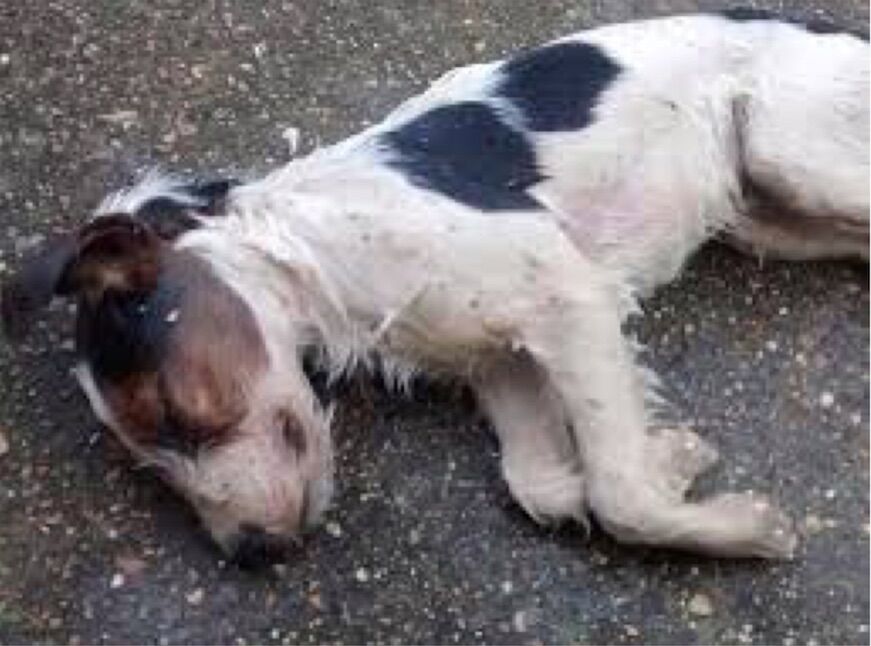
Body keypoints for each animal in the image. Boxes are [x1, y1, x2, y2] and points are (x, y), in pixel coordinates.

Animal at [3, 8, 868, 568]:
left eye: (178, 415)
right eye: (146, 464)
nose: (253, 555)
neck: (311, 248)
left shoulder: (567, 294)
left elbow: (618, 494)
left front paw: (741, 528)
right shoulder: (498, 357)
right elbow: (543, 484)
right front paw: (675, 457)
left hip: (791, 154)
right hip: (766, 218)